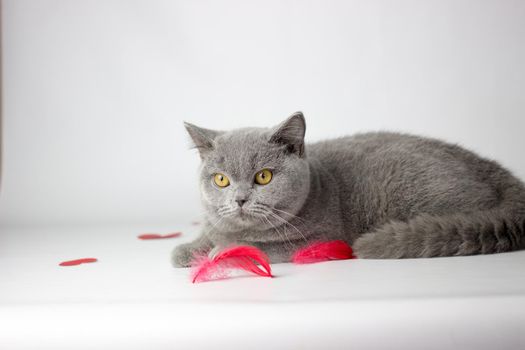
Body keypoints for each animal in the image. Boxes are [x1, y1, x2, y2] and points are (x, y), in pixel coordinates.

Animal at [170, 110, 520, 266]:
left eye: (264, 177)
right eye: (221, 180)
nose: (240, 199)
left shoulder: (322, 237)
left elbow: (265, 246)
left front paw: (224, 251)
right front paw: (190, 249)